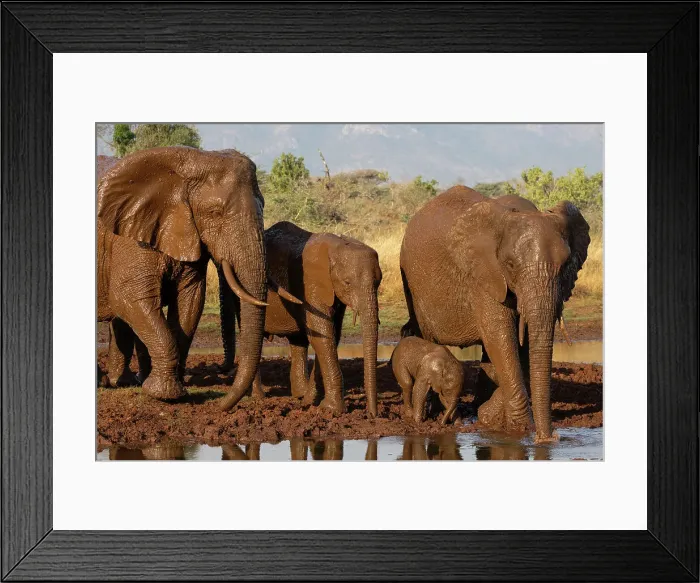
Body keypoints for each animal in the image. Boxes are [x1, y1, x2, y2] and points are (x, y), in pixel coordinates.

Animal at [97, 146, 270, 407]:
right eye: (214, 213)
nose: (220, 406)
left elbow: (190, 301)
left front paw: (175, 391)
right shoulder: (128, 237)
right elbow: (129, 299)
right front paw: (164, 395)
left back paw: (121, 382)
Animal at [220, 221, 382, 416]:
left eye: (379, 282)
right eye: (347, 282)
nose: (372, 414)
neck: (336, 246)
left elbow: (332, 335)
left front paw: (312, 403)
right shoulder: (310, 281)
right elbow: (323, 335)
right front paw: (332, 410)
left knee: (298, 341)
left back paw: (299, 395)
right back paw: (259, 397)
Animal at [400, 185, 590, 442]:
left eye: (567, 264)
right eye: (510, 265)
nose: (548, 439)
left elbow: (519, 344)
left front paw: (490, 418)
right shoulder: (484, 274)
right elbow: (500, 337)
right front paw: (519, 428)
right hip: (412, 282)